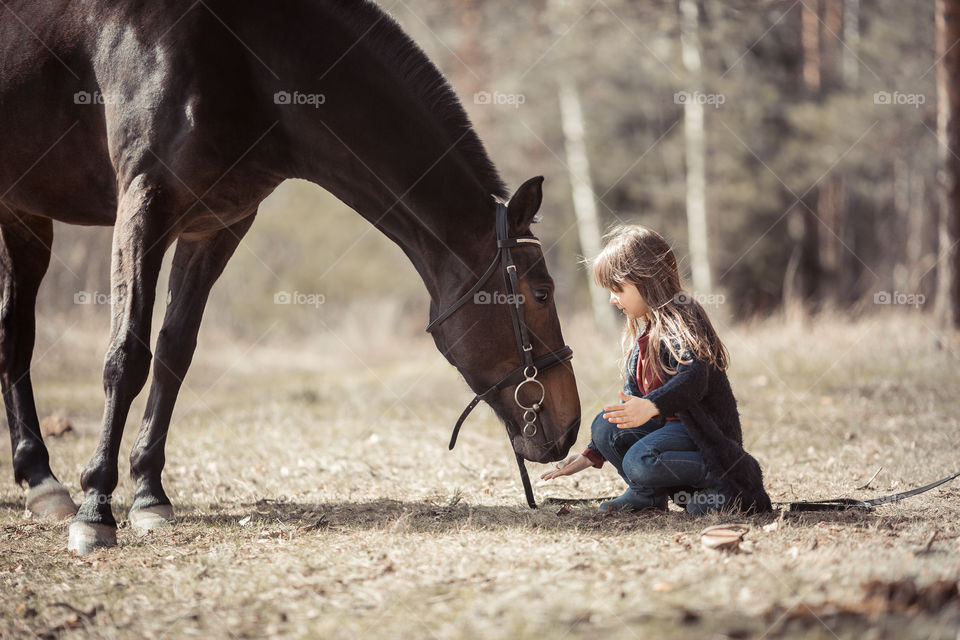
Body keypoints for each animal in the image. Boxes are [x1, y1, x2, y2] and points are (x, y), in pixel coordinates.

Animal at [0, 0, 581, 554]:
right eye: (541, 292)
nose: (572, 424)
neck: (246, 55)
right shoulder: (143, 205)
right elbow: (126, 358)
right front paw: (96, 509)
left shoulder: (215, 227)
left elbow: (172, 353)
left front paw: (149, 495)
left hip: (22, 217)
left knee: (15, 336)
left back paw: (40, 482)